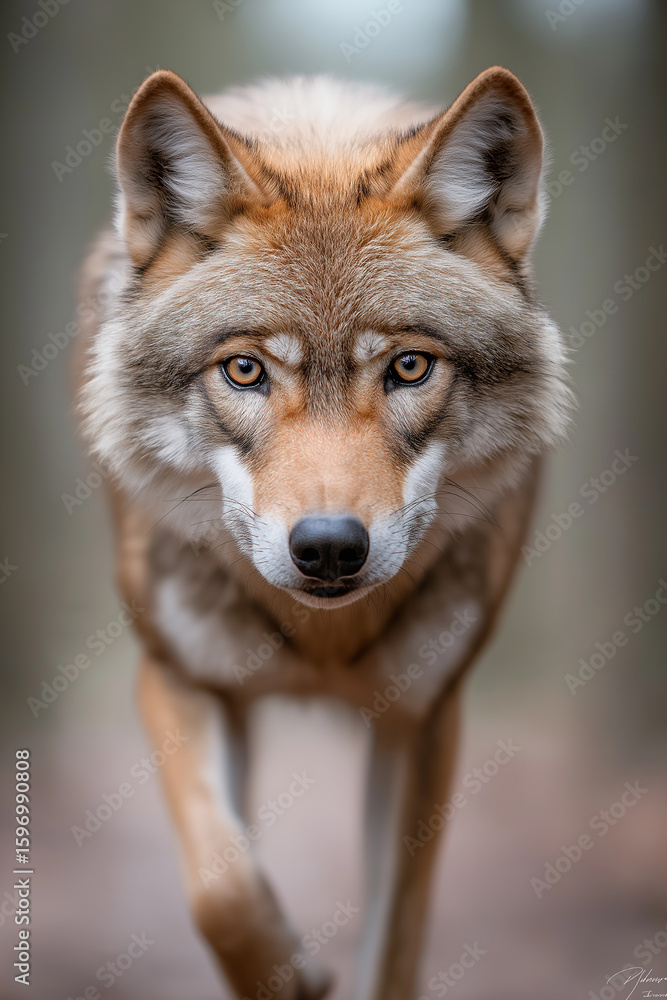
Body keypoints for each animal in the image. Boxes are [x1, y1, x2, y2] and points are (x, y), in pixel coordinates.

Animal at [78, 66, 571, 1000]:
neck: (322, 641)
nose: (331, 547)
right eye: (245, 370)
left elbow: (395, 950)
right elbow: (223, 893)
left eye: (408, 366)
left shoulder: (423, 717)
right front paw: (287, 970)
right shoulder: (176, 676)